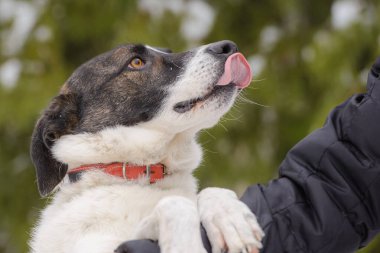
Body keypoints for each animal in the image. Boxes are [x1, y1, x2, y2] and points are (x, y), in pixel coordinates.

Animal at [29, 40, 264, 252]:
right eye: (136, 62)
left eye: (168, 50)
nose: (228, 46)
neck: (138, 172)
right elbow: (175, 204)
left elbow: (208, 192)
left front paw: (231, 218)